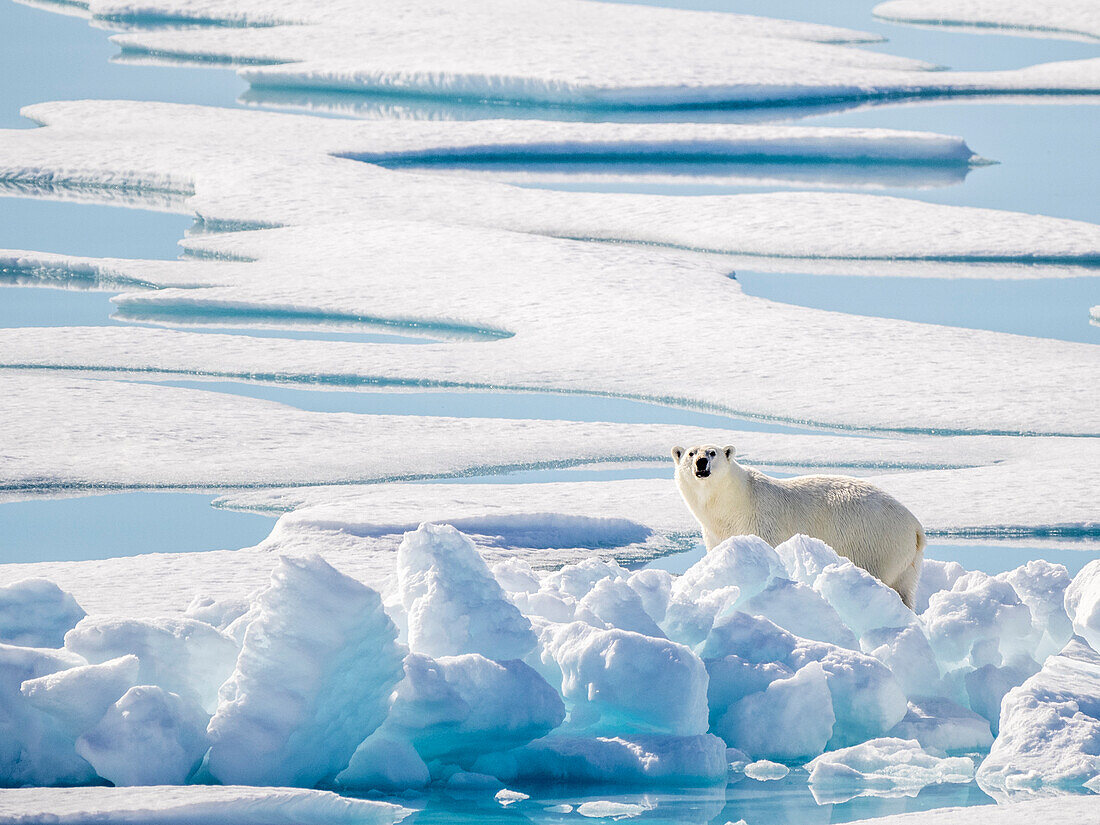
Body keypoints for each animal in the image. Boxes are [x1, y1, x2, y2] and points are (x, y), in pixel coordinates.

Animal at [668, 448, 928, 611]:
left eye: (712, 452)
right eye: (691, 453)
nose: (701, 462)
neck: (734, 502)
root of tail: (915, 527)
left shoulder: (761, 522)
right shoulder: (716, 533)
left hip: (876, 543)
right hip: (906, 561)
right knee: (905, 589)